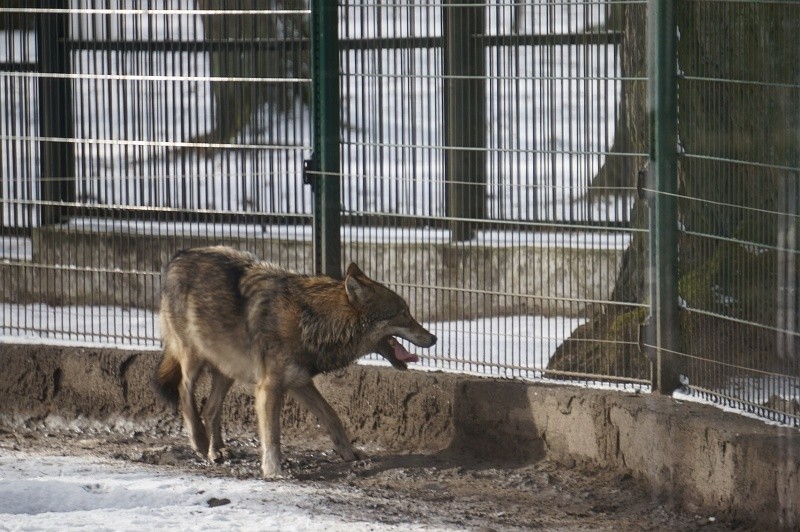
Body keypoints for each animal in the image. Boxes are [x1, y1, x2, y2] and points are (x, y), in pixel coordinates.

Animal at [153, 245, 434, 478]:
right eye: (403, 314)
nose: (434, 337)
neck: (312, 321)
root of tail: (179, 255)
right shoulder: (270, 387)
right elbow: (272, 434)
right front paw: (273, 471)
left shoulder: (298, 381)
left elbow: (332, 416)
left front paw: (349, 453)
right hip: (194, 357)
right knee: (184, 392)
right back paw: (200, 442)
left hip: (227, 368)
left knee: (210, 409)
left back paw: (217, 450)